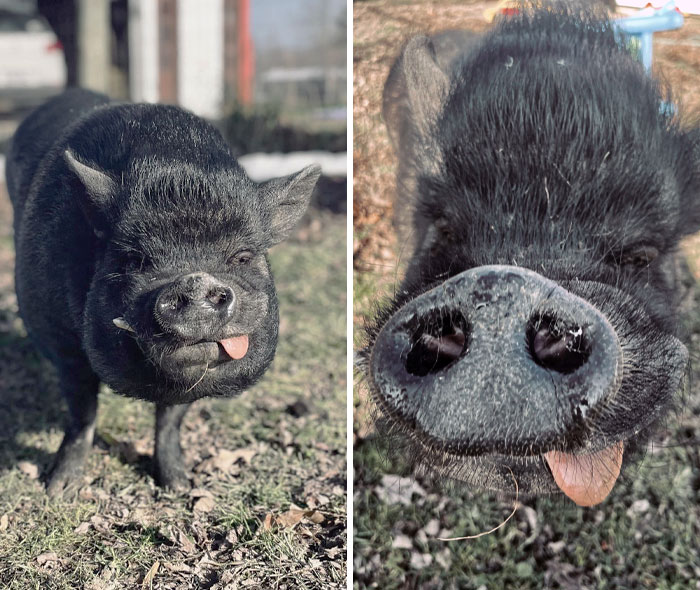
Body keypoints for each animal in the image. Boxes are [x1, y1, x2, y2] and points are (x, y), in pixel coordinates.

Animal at [6, 88, 320, 496]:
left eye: (243, 256)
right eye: (134, 259)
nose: (196, 281)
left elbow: (170, 419)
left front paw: (179, 486)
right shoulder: (62, 342)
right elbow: (82, 413)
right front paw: (58, 489)